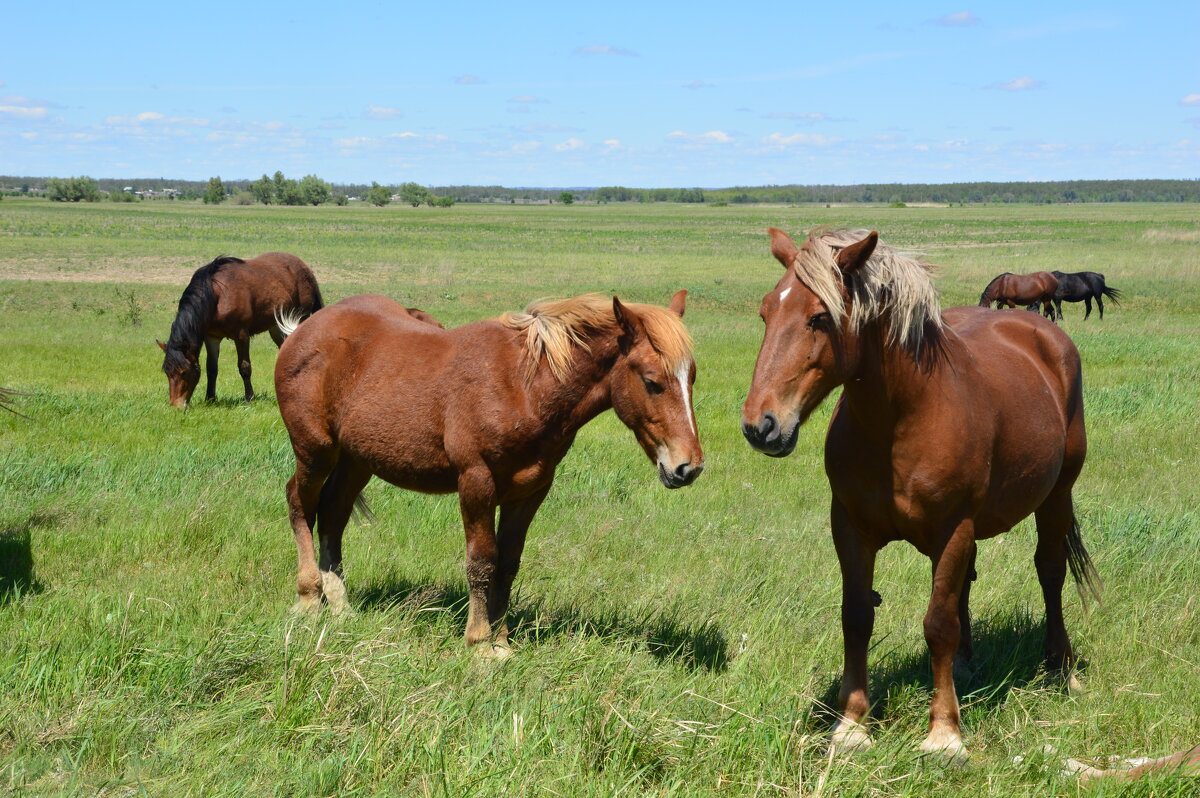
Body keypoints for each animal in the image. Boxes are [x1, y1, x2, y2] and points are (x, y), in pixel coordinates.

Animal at [157, 253, 321, 408]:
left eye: (183, 372)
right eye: (167, 372)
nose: (176, 405)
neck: (217, 295)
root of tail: (305, 268)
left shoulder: (241, 335)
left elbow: (244, 367)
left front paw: (249, 398)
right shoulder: (211, 337)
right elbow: (212, 368)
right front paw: (210, 398)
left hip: (300, 318)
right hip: (277, 326)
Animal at [272, 292, 700, 652]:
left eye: (692, 376)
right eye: (652, 382)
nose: (688, 467)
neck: (523, 387)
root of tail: (302, 331)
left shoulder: (530, 491)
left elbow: (508, 563)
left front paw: (502, 640)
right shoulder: (476, 482)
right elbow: (481, 562)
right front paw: (480, 644)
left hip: (356, 459)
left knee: (333, 514)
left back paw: (340, 605)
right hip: (315, 453)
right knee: (300, 504)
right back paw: (308, 598)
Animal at [739, 229, 1099, 758]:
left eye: (819, 317)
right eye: (766, 313)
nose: (760, 426)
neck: (899, 419)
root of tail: (1044, 333)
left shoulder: (952, 530)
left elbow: (938, 624)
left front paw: (944, 733)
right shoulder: (850, 528)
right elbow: (857, 617)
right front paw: (852, 725)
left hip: (1056, 496)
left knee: (1050, 572)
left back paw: (1059, 667)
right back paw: (969, 665)